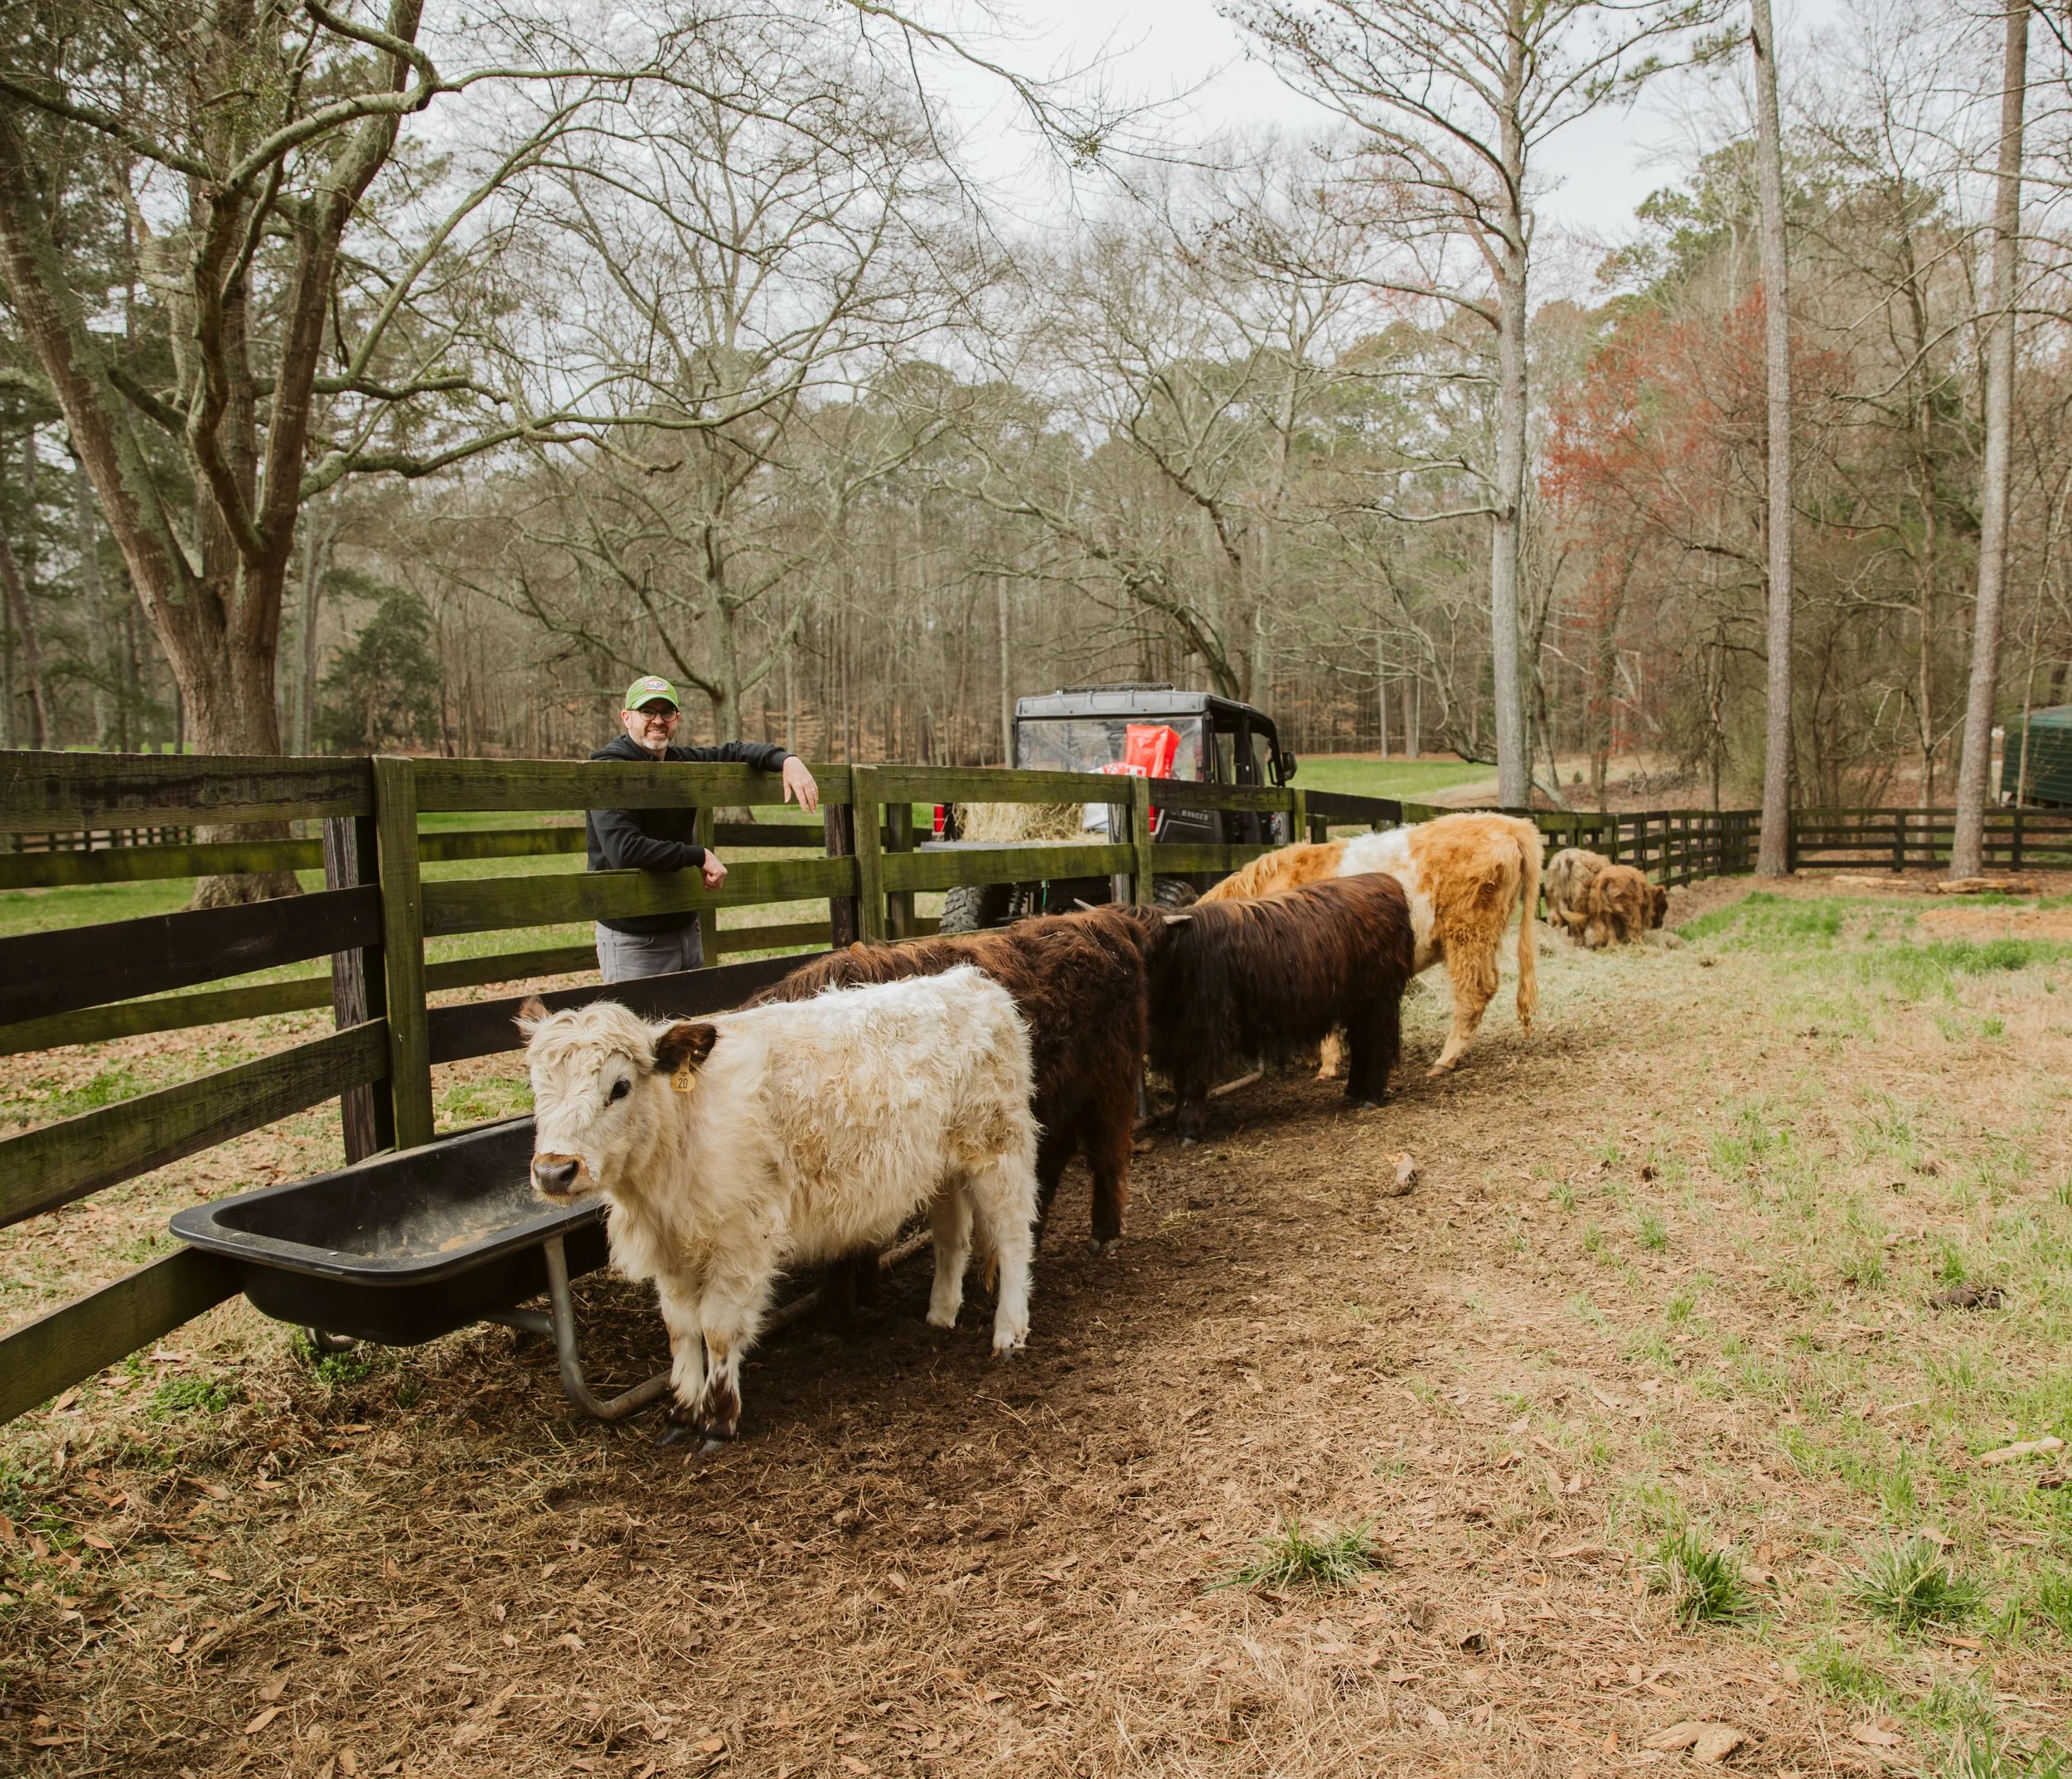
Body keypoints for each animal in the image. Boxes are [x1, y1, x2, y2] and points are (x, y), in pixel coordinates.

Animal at [519, 968, 1039, 1441]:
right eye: (536, 1087)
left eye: (620, 1087)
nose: (554, 1170)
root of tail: (972, 981)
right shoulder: (673, 1249)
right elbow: (680, 1328)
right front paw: (682, 1412)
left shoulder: (740, 1240)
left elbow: (717, 1328)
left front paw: (718, 1420)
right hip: (944, 1169)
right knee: (952, 1238)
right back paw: (940, 1314)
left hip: (998, 1149)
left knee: (1013, 1237)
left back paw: (1009, 1332)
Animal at [751, 906, 1156, 1250]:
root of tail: (1100, 920)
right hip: (1054, 1097)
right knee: (1055, 1155)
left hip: (1109, 1082)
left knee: (1107, 1151)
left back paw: (1104, 1233)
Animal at [1146, 873, 1416, 1142]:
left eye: (1149, 948)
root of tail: (1383, 881)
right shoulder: (1178, 1037)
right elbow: (1181, 1080)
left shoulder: (1204, 1031)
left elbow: (1193, 1080)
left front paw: (1188, 1130)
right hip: (1358, 1005)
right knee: (1361, 1044)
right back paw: (1353, 1092)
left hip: (1379, 1001)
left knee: (1376, 1044)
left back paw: (1371, 1097)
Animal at [1200, 812, 1543, 1075]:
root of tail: (1506, 822)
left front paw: (1326, 1067)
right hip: (1483, 937)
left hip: (1467, 934)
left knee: (1473, 993)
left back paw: (1444, 1061)